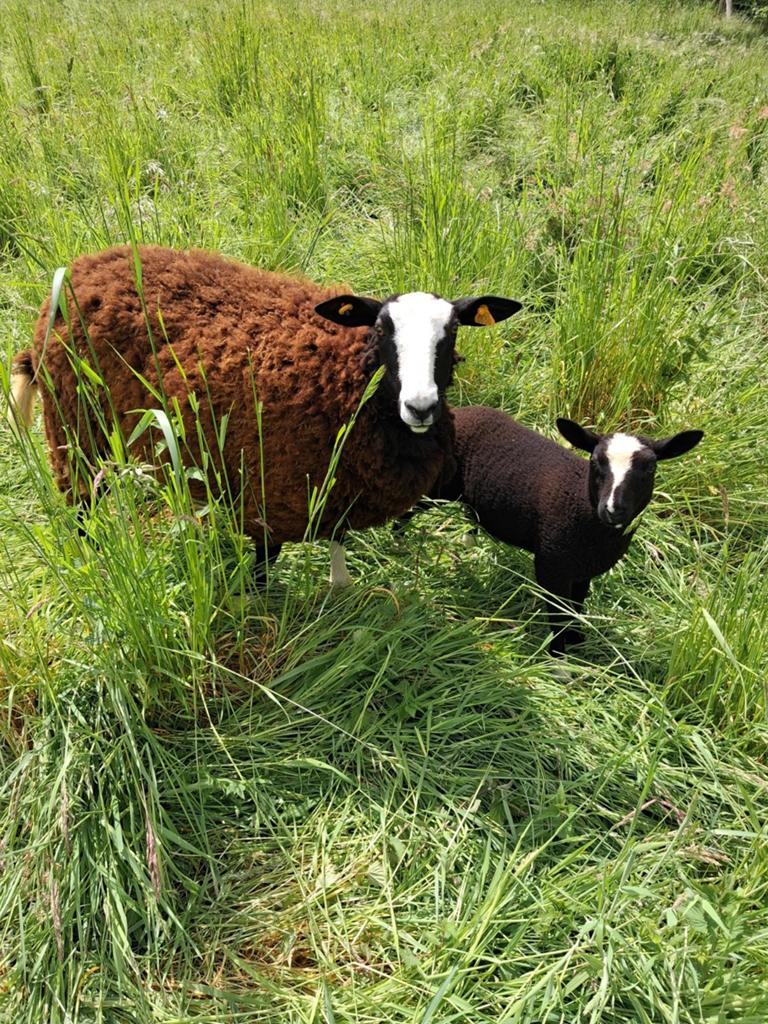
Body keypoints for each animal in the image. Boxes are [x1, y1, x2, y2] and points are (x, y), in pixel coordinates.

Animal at [8, 245, 521, 582]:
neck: (346, 381)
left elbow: (338, 562)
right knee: (82, 507)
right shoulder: (265, 504)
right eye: (380, 329)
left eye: (452, 332)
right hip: (75, 431)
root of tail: (82, 267)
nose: (421, 406)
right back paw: (94, 560)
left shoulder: (333, 494)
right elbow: (262, 574)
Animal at [407, 405, 703, 653]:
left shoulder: (583, 570)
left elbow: (576, 606)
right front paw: (560, 661)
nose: (612, 509)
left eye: (650, 468)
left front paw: (576, 640)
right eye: (595, 462)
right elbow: (559, 614)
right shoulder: (552, 565)